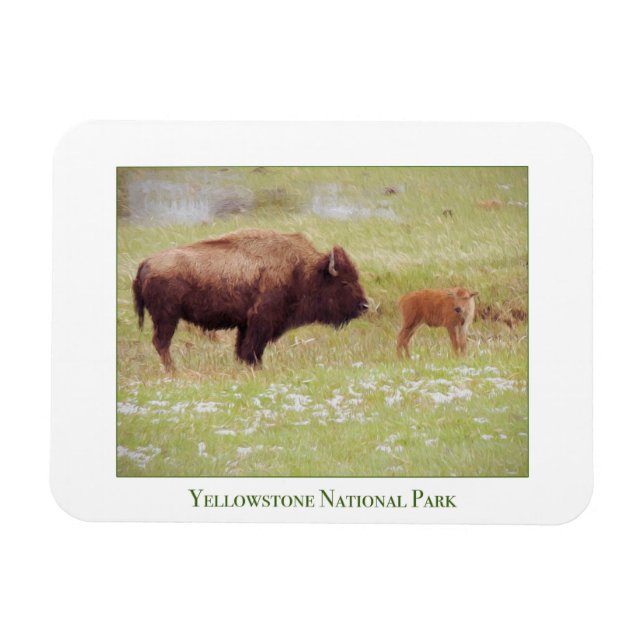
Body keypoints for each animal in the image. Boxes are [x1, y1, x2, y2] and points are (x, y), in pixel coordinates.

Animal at [132, 228, 369, 368]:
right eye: (344, 282)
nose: (364, 305)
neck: (302, 270)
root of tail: (146, 262)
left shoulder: (246, 324)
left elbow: (243, 348)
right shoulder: (261, 320)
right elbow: (252, 349)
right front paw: (256, 367)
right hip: (167, 317)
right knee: (161, 343)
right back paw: (173, 370)